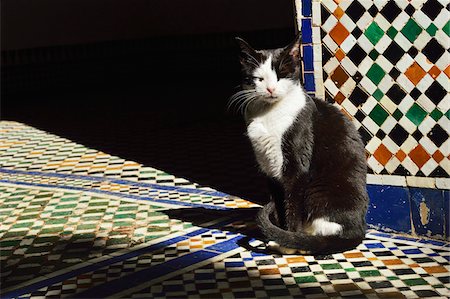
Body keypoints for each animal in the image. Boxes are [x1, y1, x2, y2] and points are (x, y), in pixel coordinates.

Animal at [232, 35, 370, 255]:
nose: (270, 89)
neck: (268, 114)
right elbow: (281, 207)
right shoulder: (271, 172)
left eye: (281, 75)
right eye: (259, 79)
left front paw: (287, 244)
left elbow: (293, 209)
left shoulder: (296, 169)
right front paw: (282, 235)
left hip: (319, 192)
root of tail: (359, 231)